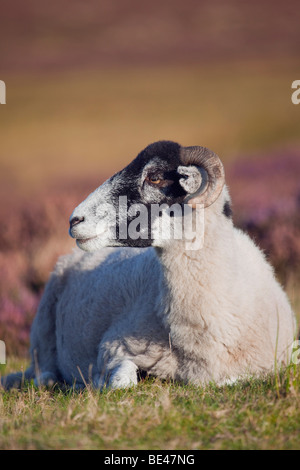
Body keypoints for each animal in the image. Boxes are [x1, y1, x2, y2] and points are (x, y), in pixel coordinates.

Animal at [2, 141, 296, 392]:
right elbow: (122, 382)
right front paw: (96, 382)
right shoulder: (114, 347)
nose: (75, 220)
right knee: (43, 373)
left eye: (154, 177)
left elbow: (241, 378)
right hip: (42, 337)